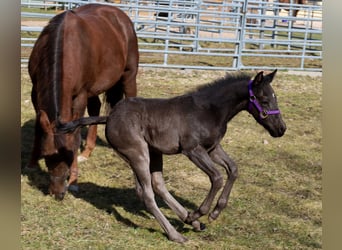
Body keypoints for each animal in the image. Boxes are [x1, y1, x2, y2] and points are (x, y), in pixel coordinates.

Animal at [26, 3, 139, 199]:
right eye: (47, 156)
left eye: (69, 156)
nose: (58, 194)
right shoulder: (35, 91)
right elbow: (38, 129)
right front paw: (32, 163)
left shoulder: (80, 96)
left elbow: (76, 135)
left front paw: (74, 182)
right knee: (95, 108)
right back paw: (87, 152)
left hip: (128, 76)